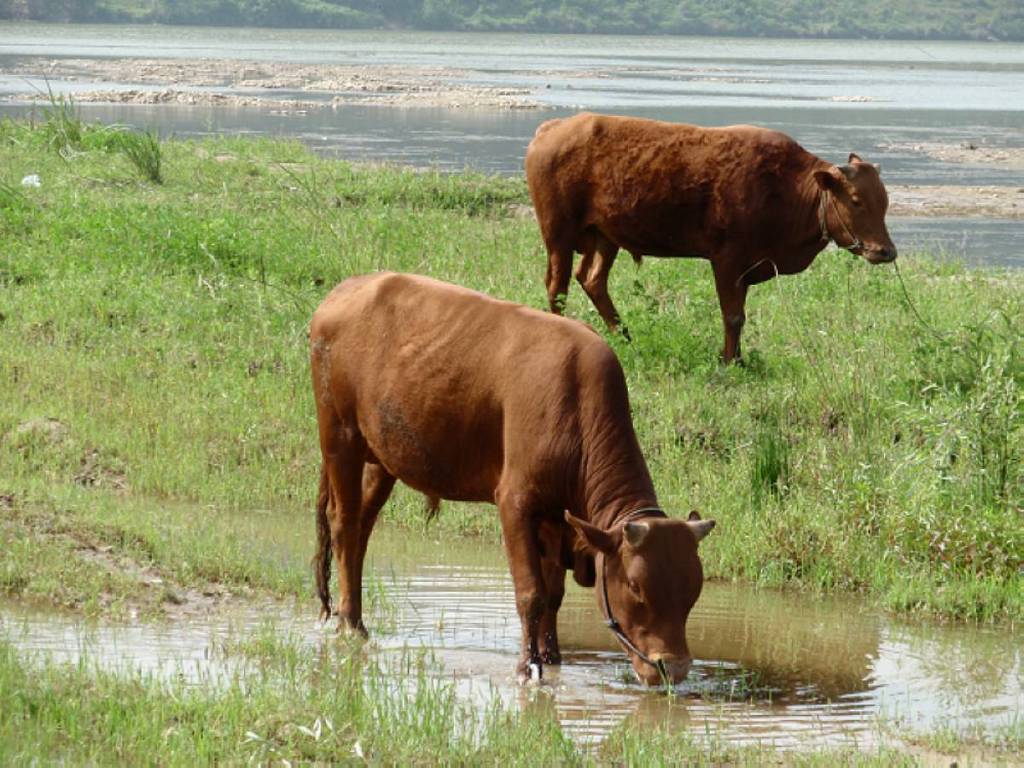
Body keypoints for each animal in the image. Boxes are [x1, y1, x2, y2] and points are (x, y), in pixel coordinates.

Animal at [307, 272, 716, 684]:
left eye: (693, 589)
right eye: (635, 587)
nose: (673, 668)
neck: (576, 407)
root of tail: (348, 288)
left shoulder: (557, 518)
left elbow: (553, 595)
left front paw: (551, 657)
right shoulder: (515, 503)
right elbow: (531, 594)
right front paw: (527, 667)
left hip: (382, 459)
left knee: (361, 530)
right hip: (340, 438)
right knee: (344, 526)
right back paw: (351, 624)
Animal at [528, 113, 897, 364]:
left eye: (884, 200)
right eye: (856, 200)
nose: (886, 251)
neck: (784, 185)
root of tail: (554, 127)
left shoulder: (747, 266)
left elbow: (739, 315)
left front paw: (738, 357)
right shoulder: (727, 260)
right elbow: (733, 316)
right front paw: (730, 361)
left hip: (606, 237)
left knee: (592, 280)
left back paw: (625, 336)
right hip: (558, 235)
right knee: (558, 287)